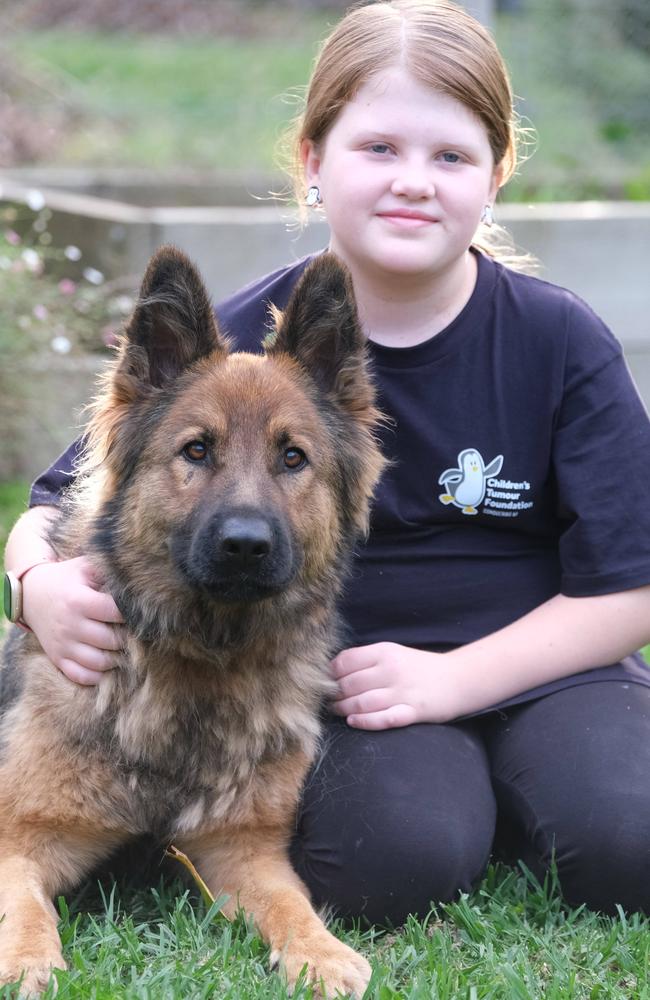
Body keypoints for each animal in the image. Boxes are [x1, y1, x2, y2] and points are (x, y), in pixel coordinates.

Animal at [0, 246, 384, 996]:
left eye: (292, 457)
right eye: (197, 451)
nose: (245, 545)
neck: (200, 661)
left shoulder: (243, 851)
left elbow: (293, 906)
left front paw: (321, 953)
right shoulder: (18, 836)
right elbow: (24, 910)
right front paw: (27, 960)